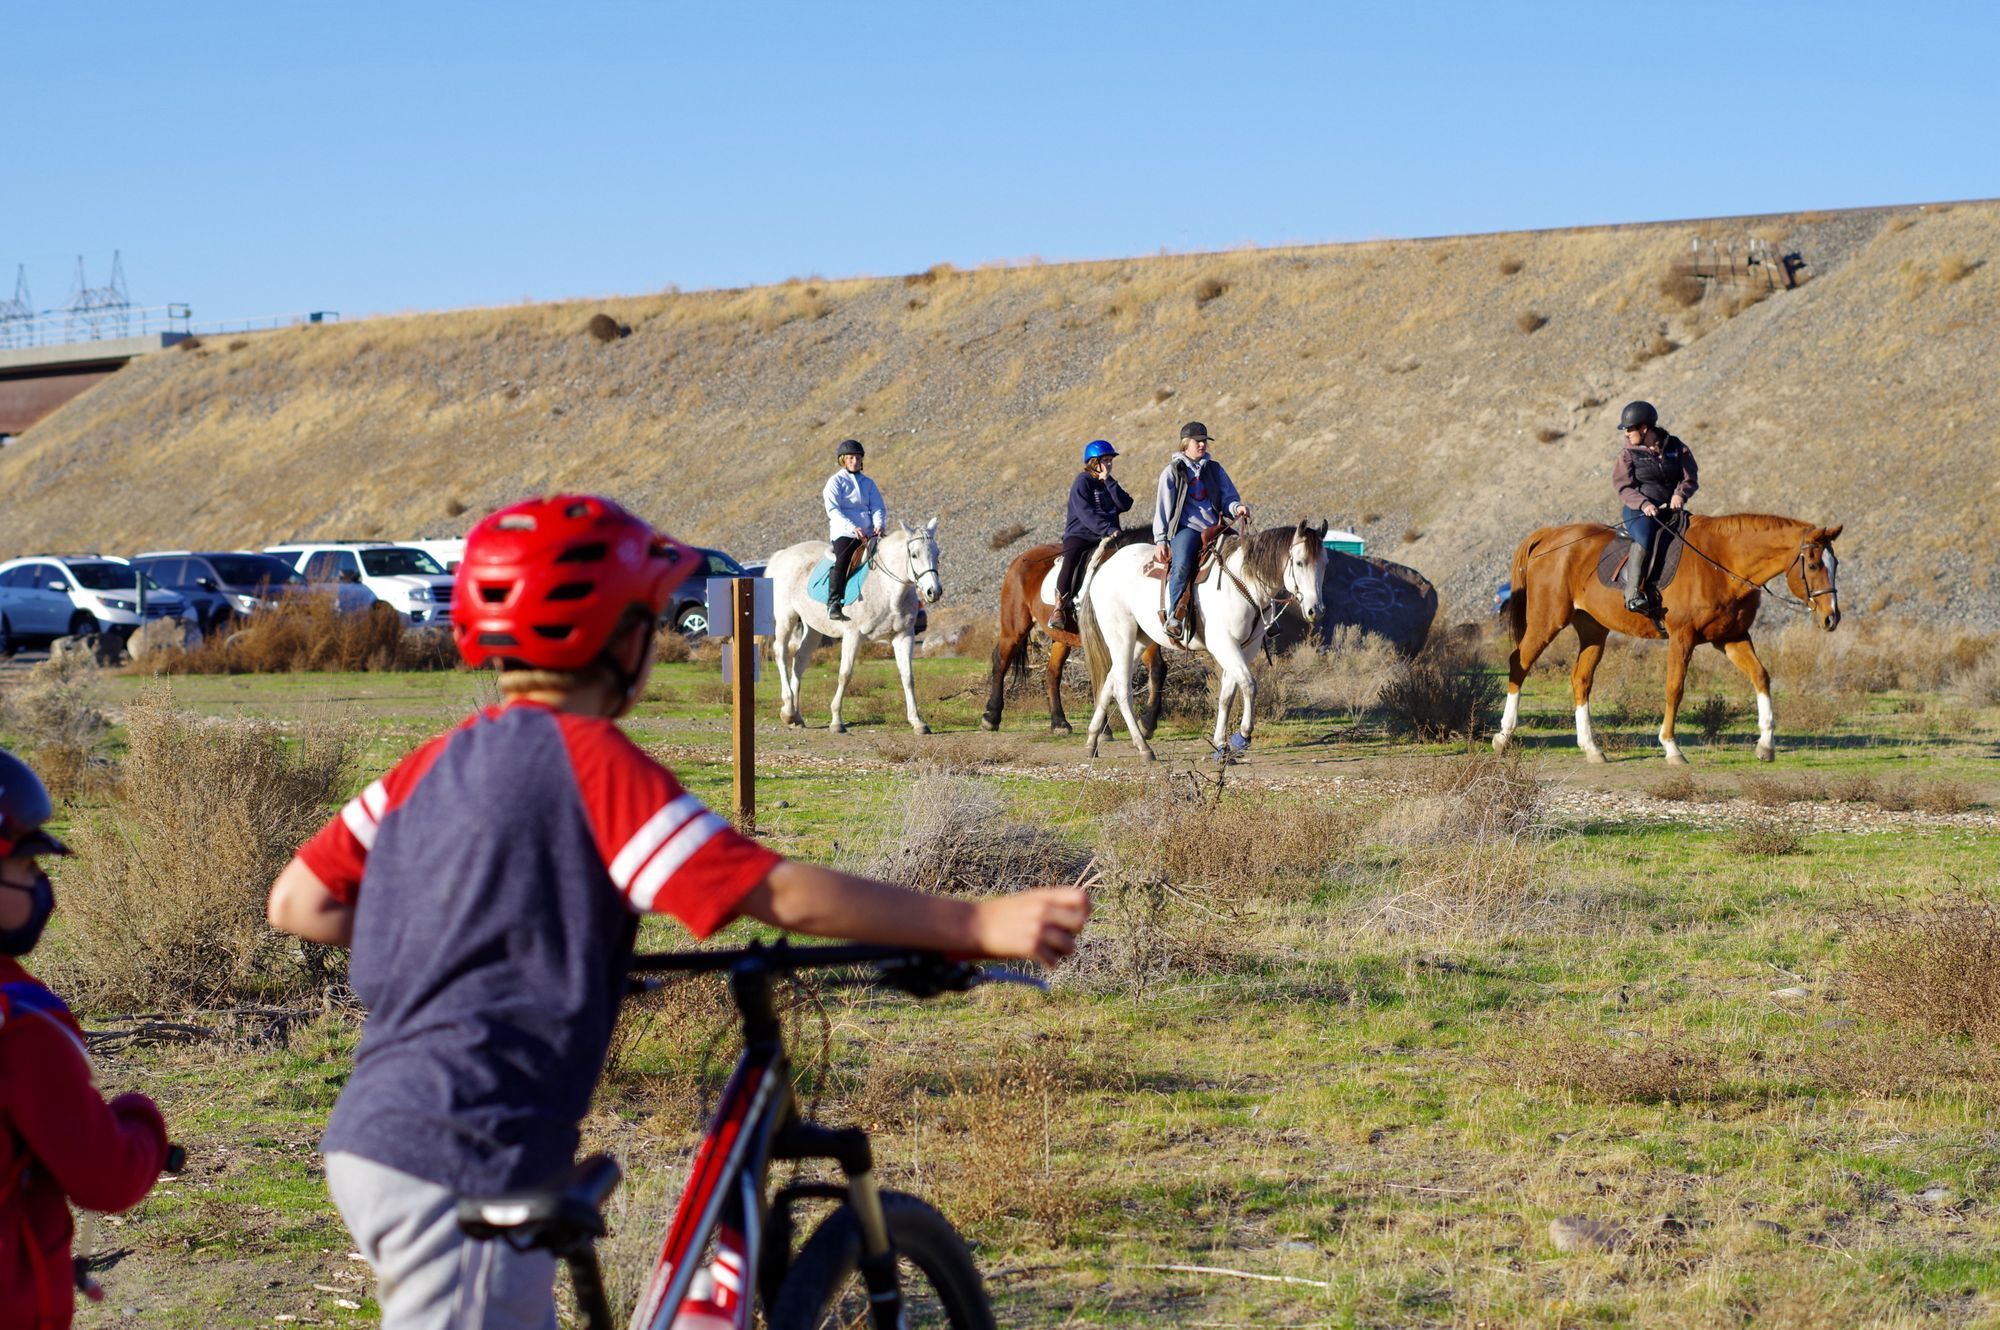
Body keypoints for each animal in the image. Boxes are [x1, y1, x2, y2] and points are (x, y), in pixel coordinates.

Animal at [768, 516, 948, 732]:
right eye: (914, 554)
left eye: (937, 553)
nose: (934, 591)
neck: (886, 589)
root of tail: (783, 554)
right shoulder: (853, 635)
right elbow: (845, 674)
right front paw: (837, 721)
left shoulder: (904, 636)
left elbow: (908, 677)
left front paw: (917, 722)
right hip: (786, 617)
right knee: (781, 653)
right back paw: (788, 709)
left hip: (813, 627)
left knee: (800, 660)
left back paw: (795, 715)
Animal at [980, 528, 1168, 736]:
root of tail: (1020, 558)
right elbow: (1101, 675)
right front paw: (1103, 730)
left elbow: (1157, 668)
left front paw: (1147, 722)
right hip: (1014, 627)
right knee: (1001, 660)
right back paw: (991, 716)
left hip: (1061, 639)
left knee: (1052, 673)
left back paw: (1059, 722)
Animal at [1080, 524, 1328, 764]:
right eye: (1299, 562)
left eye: (1324, 564)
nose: (1315, 610)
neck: (1242, 583)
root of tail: (1104, 567)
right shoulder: (1224, 644)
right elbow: (1249, 684)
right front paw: (1242, 736)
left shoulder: (1246, 648)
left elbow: (1227, 695)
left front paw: (1221, 746)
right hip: (1122, 636)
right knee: (1122, 688)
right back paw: (1143, 747)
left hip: (1140, 640)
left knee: (1109, 683)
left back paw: (1092, 740)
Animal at [1488, 510, 1840, 764]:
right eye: (1812, 565)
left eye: (1834, 563)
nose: (1831, 618)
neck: (1722, 563)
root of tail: (1550, 535)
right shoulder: (1682, 638)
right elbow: (1675, 688)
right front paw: (1671, 747)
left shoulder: (1733, 638)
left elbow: (1761, 676)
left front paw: (1766, 744)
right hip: (1547, 621)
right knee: (1519, 663)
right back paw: (1503, 736)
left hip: (1592, 629)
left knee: (1581, 679)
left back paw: (1591, 748)